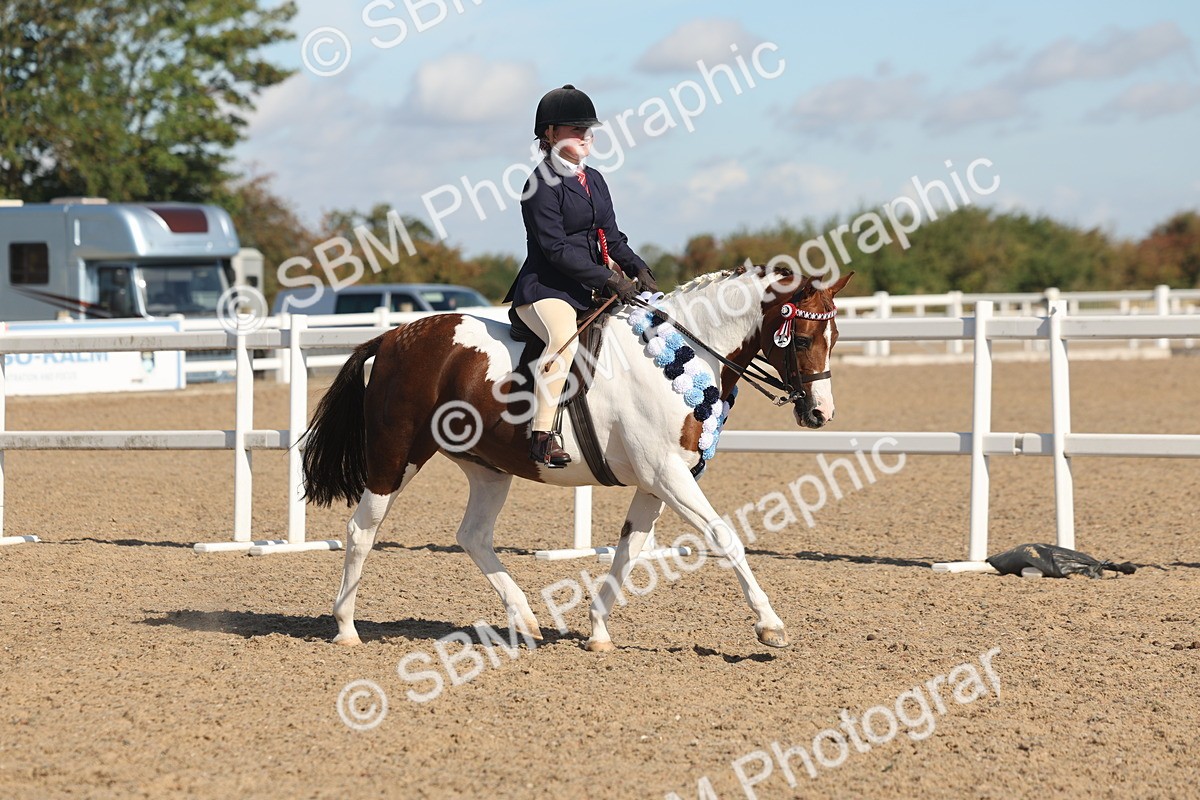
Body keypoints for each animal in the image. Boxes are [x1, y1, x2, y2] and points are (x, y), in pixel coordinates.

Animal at [301, 264, 852, 651]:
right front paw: (770, 626)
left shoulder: (655, 481)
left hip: (488, 468)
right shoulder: (668, 475)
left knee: (473, 535)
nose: (820, 413)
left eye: (835, 338)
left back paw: (524, 621)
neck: (683, 354)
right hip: (397, 455)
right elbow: (725, 536)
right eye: (803, 338)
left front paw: (598, 631)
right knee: (362, 529)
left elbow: (629, 551)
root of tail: (393, 336)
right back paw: (346, 627)